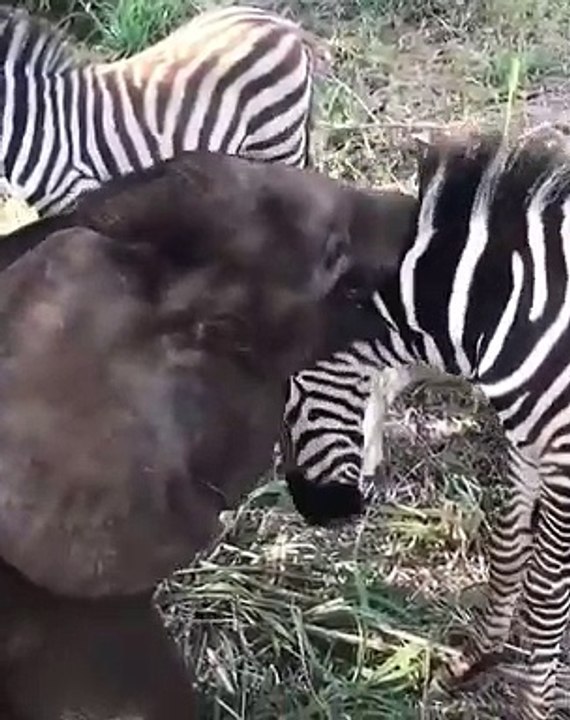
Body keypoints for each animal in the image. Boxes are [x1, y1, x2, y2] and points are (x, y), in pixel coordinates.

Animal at [282, 125, 570, 719]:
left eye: (291, 392)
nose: (314, 510)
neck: (518, 312)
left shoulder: (566, 466)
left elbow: (545, 592)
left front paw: (537, 703)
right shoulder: (527, 447)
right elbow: (508, 549)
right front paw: (476, 658)